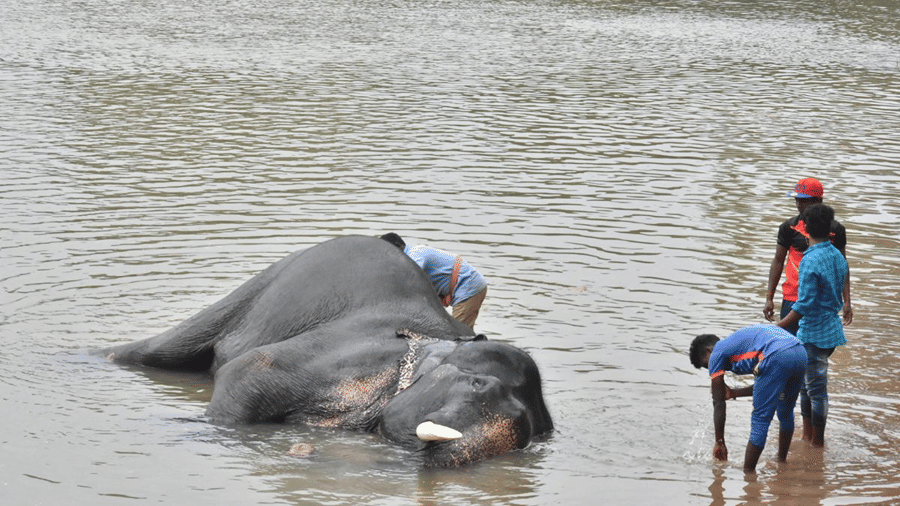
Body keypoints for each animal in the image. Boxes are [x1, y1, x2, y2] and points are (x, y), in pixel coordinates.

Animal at [104, 235, 553, 467]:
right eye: (479, 386)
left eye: (526, 439)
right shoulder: (352, 355)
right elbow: (249, 370)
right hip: (263, 284)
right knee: (157, 352)